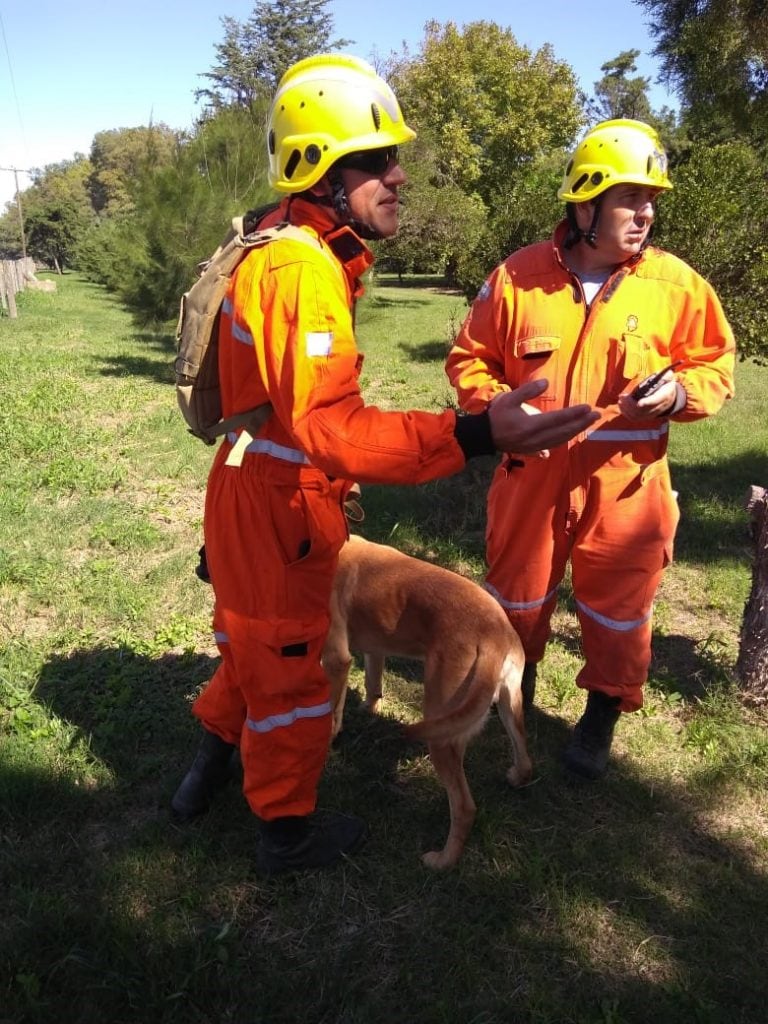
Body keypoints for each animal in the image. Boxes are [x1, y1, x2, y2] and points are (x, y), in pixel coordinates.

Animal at [321, 536, 532, 872]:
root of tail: (495, 636)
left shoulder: (335, 659)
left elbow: (331, 716)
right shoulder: (375, 648)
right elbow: (372, 684)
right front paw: (368, 712)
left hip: (442, 731)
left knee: (465, 807)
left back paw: (443, 861)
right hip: (505, 708)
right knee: (524, 757)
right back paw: (516, 776)